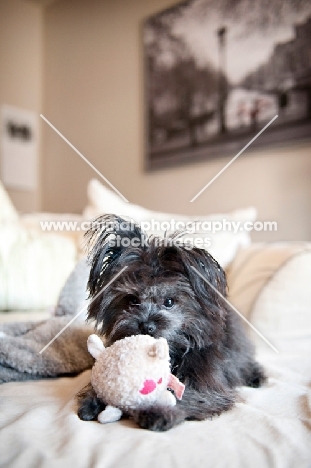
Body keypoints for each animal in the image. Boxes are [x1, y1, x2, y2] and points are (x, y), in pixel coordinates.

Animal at [78, 214, 266, 430]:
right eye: (132, 300)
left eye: (169, 301)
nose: (147, 326)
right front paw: (93, 400)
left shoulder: (209, 386)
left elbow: (183, 395)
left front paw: (158, 411)